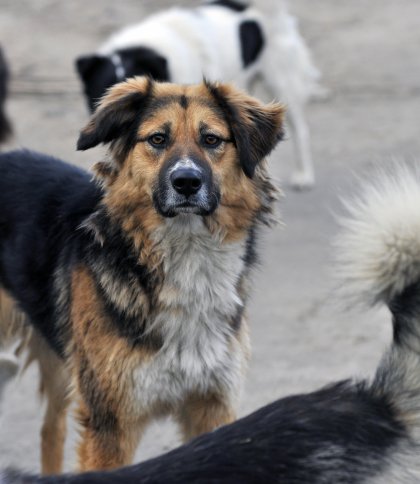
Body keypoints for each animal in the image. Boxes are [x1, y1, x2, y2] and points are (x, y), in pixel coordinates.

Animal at [0, 78, 286, 472]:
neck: (186, 254)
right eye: (157, 139)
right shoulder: (109, 422)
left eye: (212, 139)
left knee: (50, 431)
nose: (186, 182)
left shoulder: (212, 405)